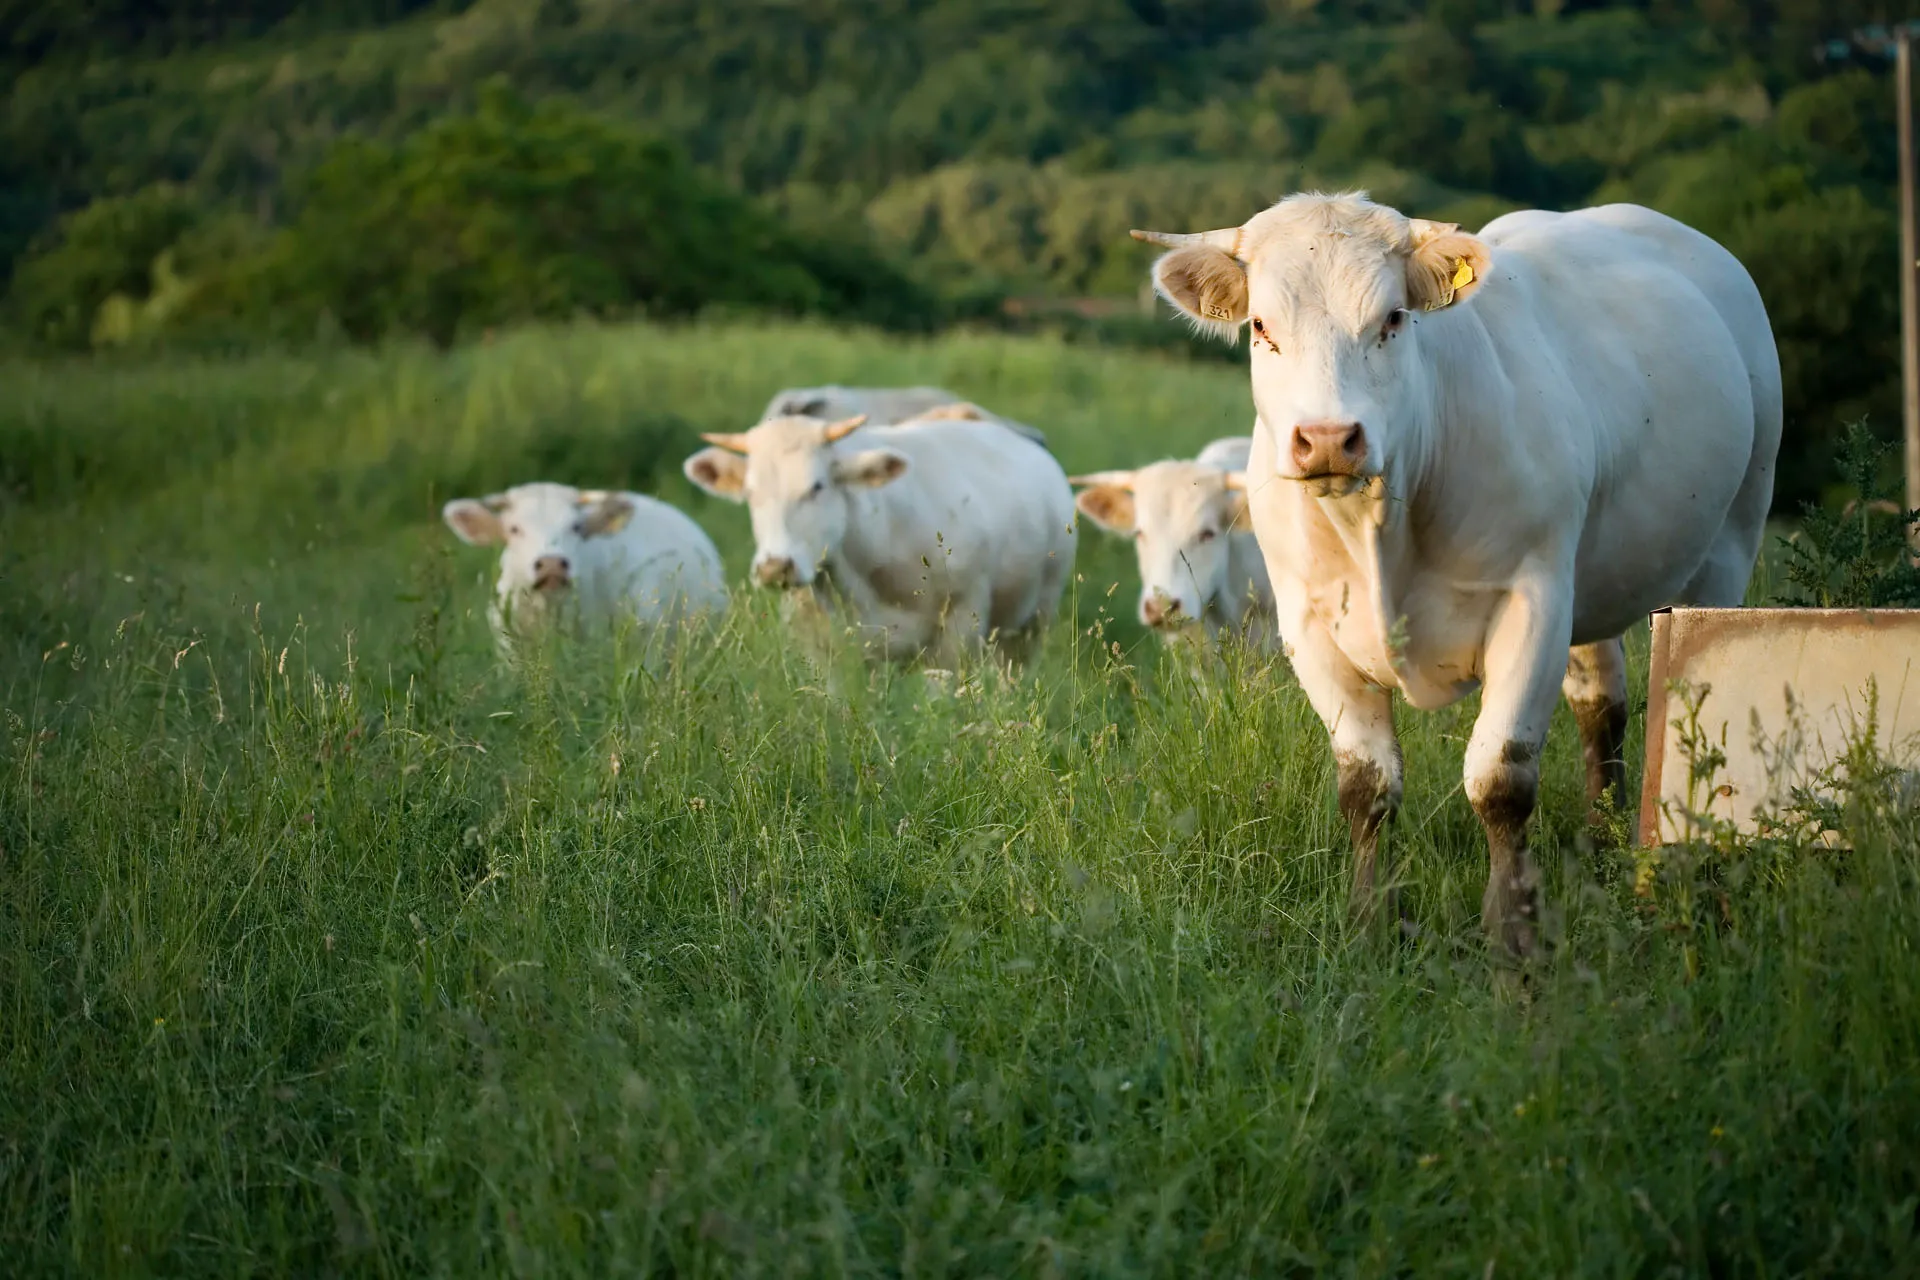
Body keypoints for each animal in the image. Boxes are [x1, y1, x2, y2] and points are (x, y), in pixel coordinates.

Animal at [681, 411, 1076, 665]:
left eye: (817, 486)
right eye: (750, 493)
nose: (775, 567)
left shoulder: (959, 629)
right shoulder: (826, 651)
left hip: (1031, 623)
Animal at [1132, 193, 1781, 959]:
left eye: (1392, 318)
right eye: (1261, 326)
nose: (1328, 439)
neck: (1380, 525)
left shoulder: (1532, 602)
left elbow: (1500, 781)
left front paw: (1513, 936)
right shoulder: (1309, 628)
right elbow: (1367, 786)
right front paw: (1369, 924)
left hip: (1728, 543)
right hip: (1591, 575)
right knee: (1601, 705)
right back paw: (1599, 841)